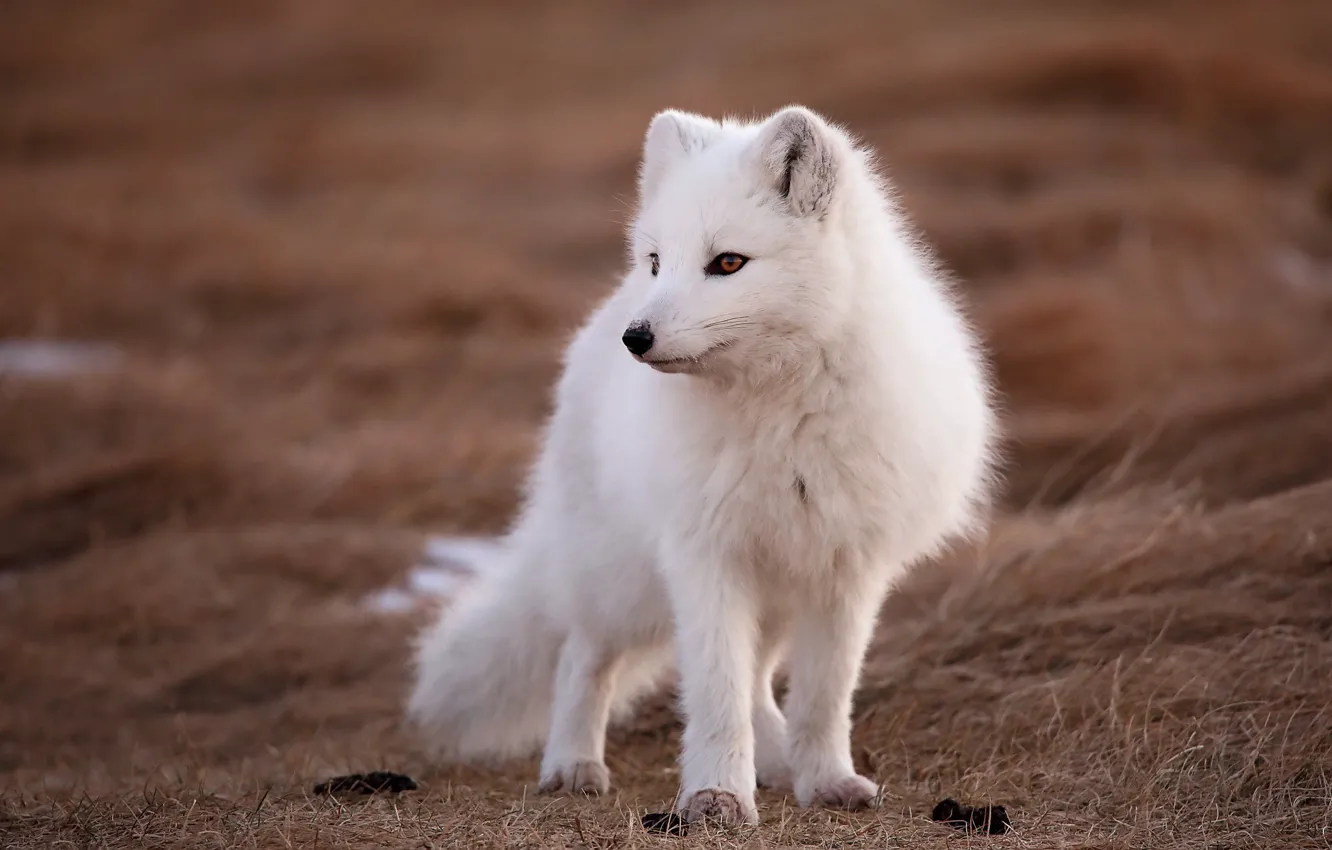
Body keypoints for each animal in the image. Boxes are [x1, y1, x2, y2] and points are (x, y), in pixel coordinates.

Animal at [406, 105, 997, 825]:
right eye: (659, 260)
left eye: (728, 262)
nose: (637, 338)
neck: (781, 414)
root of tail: (607, 311)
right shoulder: (705, 556)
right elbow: (715, 694)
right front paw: (717, 796)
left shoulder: (847, 571)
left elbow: (823, 698)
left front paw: (826, 780)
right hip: (622, 580)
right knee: (583, 656)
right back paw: (572, 764)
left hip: (772, 590)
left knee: (760, 682)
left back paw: (779, 762)